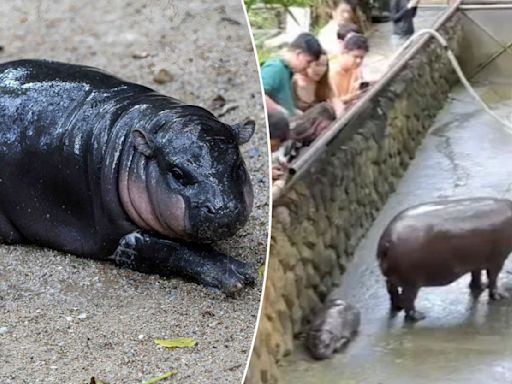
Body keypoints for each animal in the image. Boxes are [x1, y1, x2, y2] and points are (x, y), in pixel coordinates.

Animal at [0, 59, 256, 294]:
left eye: (237, 165)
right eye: (177, 172)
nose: (223, 209)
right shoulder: (121, 237)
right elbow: (171, 250)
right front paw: (237, 275)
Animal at [376, 198, 512, 320]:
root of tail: (387, 240)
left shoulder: (476, 259)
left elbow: (476, 274)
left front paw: (481, 286)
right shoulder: (497, 260)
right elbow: (493, 278)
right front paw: (501, 296)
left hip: (395, 277)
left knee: (391, 288)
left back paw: (397, 307)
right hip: (412, 282)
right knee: (408, 299)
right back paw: (419, 316)